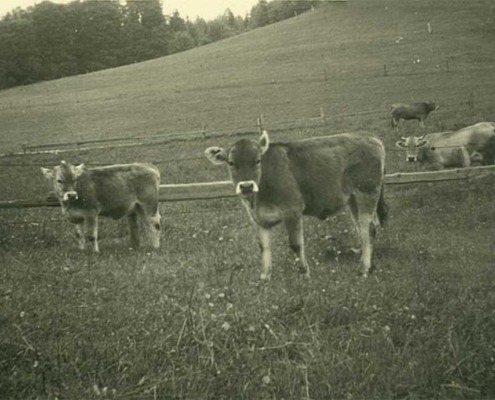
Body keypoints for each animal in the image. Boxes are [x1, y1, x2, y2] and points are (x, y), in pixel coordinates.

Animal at [204, 130, 388, 280]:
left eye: (257, 161)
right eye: (231, 163)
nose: (247, 186)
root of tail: (369, 137)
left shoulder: (292, 211)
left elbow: (295, 244)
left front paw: (304, 273)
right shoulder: (258, 220)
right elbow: (264, 247)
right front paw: (265, 278)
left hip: (367, 192)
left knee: (368, 229)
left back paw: (363, 268)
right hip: (353, 199)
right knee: (361, 229)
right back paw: (365, 259)